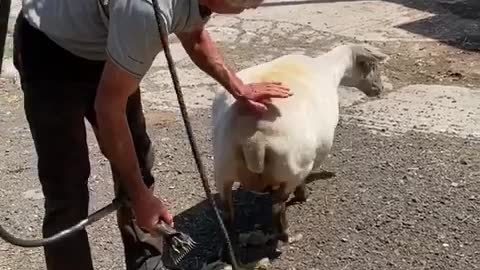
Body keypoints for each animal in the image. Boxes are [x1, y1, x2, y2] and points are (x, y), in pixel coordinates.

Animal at [212, 43, 388, 246]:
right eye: (372, 66)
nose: (380, 89)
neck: (329, 69)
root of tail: (254, 138)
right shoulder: (313, 154)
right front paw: (303, 194)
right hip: (292, 167)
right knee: (277, 205)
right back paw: (288, 232)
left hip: (222, 168)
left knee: (227, 210)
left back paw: (229, 237)